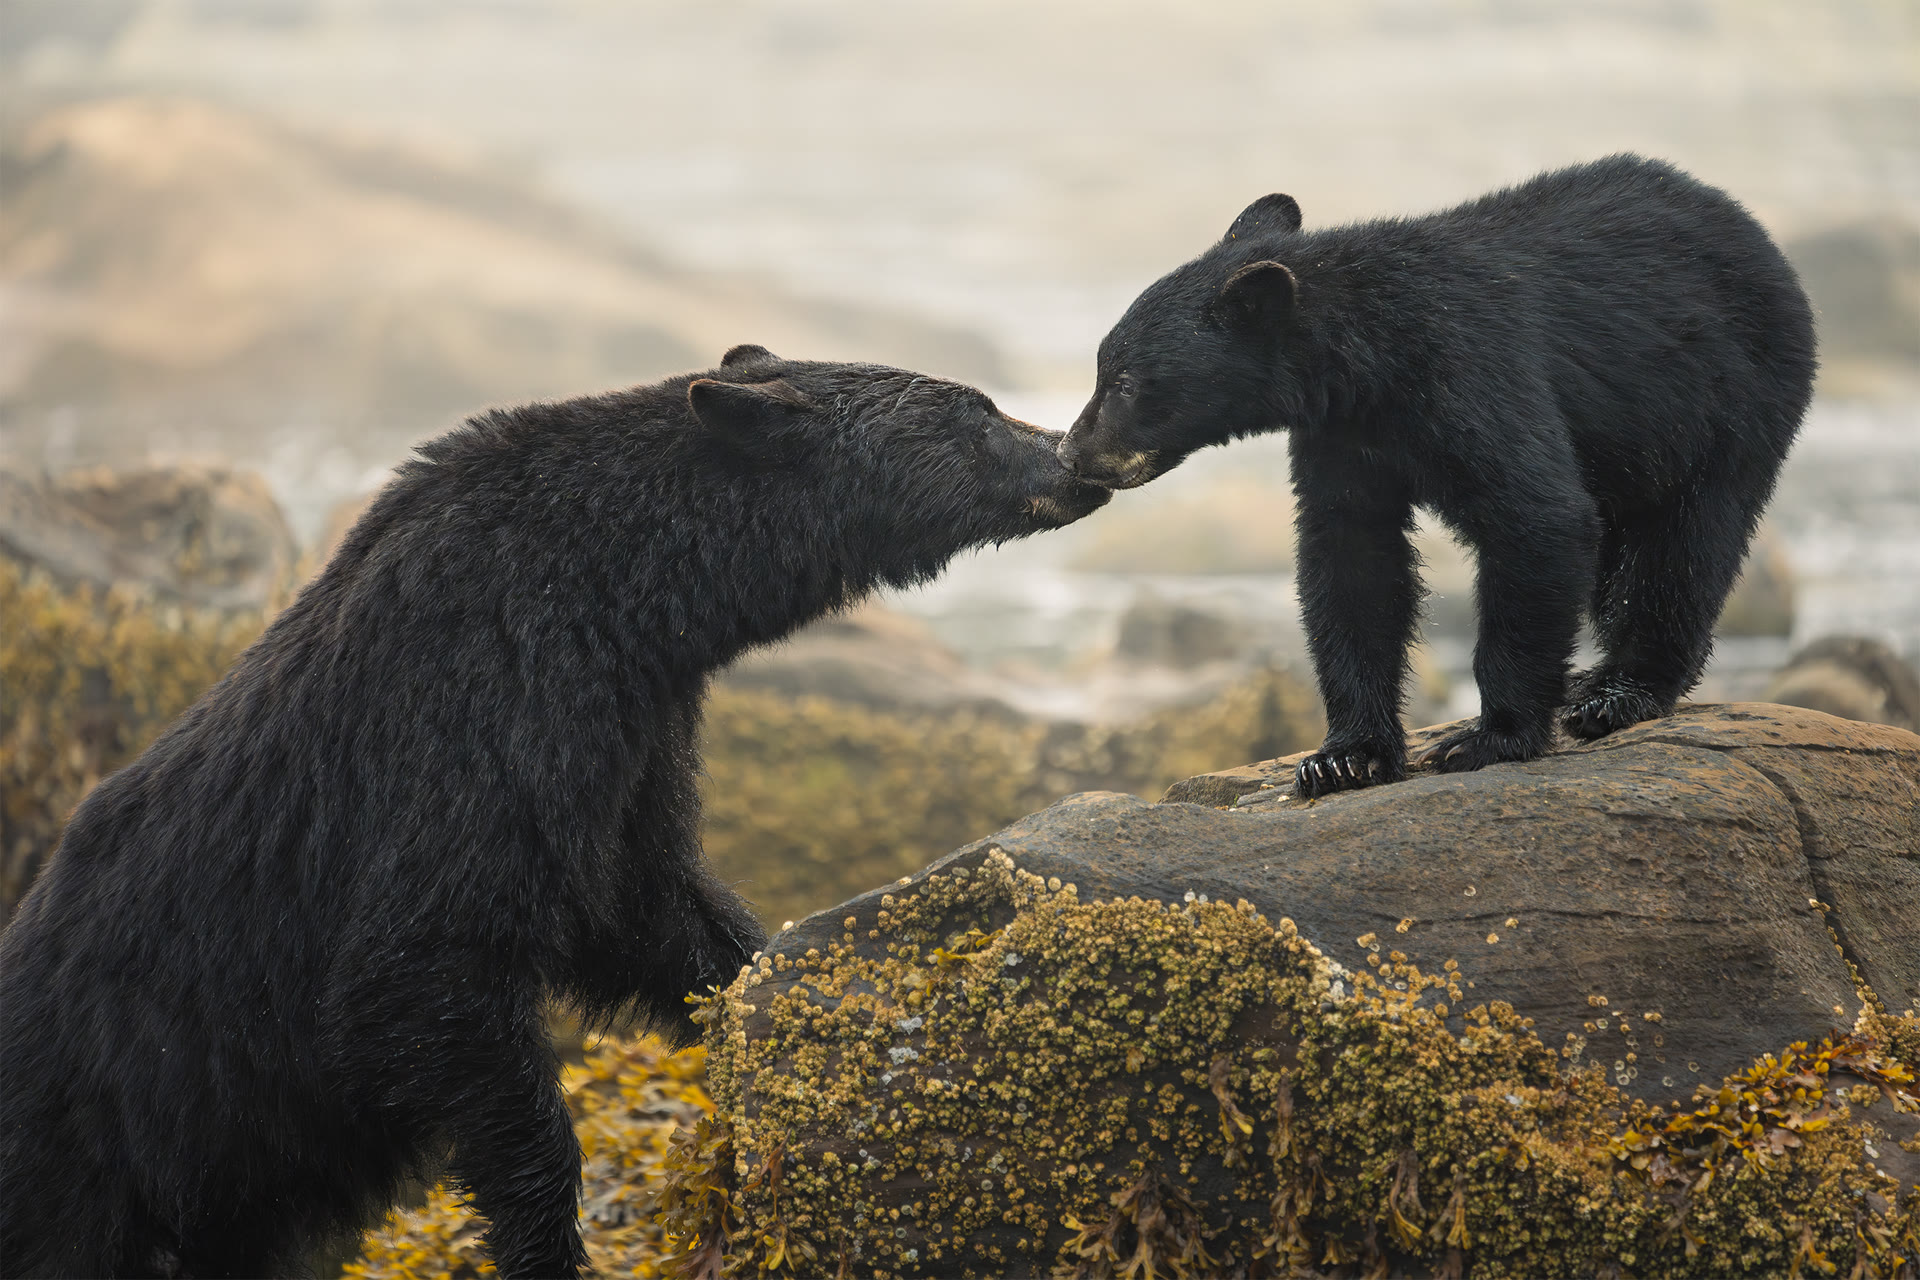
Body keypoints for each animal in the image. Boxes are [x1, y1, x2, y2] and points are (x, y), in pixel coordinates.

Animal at [0, 347, 1110, 1279]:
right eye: (975, 408)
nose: (1079, 462)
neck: (615, 594)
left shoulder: (632, 729)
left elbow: (643, 902)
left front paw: (762, 1008)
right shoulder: (481, 712)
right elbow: (429, 964)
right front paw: (546, 1239)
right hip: (111, 1136)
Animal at [1060, 155, 1816, 798]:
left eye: (1122, 382)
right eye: (1104, 368)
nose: (1070, 453)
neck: (1370, 362)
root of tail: (1748, 224)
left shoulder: (1473, 373)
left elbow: (1538, 517)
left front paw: (1488, 737)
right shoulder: (1344, 438)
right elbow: (1351, 560)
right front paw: (1345, 757)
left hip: (1728, 402)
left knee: (1684, 544)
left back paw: (1617, 693)